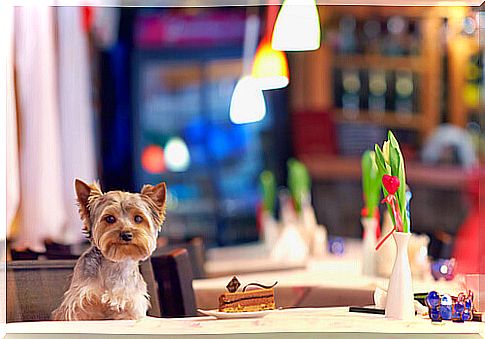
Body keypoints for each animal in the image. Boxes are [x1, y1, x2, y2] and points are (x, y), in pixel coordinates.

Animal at [52, 181, 166, 322]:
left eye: (138, 218)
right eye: (110, 218)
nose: (126, 234)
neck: (116, 263)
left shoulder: (130, 307)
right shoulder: (78, 304)